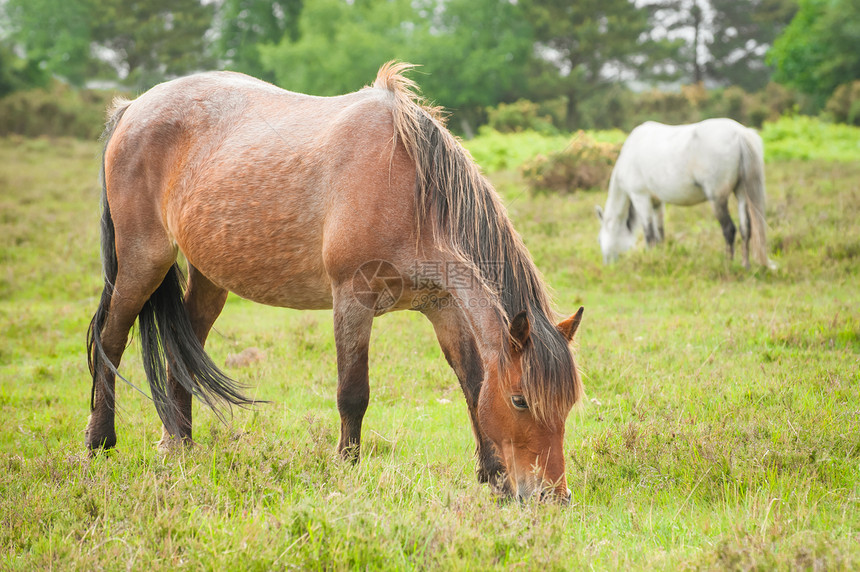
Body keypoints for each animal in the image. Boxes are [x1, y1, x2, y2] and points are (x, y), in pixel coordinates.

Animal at [85, 62, 584, 500]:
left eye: (568, 404)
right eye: (520, 401)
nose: (552, 497)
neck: (412, 190)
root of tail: (132, 108)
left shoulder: (444, 305)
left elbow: (472, 381)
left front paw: (493, 475)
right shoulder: (352, 298)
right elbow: (353, 393)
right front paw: (347, 466)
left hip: (209, 277)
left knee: (183, 350)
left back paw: (179, 446)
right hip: (142, 262)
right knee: (110, 340)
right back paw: (99, 443)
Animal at [596, 119, 772, 268]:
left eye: (599, 239)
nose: (606, 264)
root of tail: (739, 133)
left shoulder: (641, 198)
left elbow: (649, 234)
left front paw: (650, 258)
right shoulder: (657, 203)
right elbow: (660, 233)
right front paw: (660, 257)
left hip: (717, 198)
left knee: (729, 229)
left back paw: (728, 264)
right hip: (742, 194)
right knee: (745, 229)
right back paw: (745, 265)